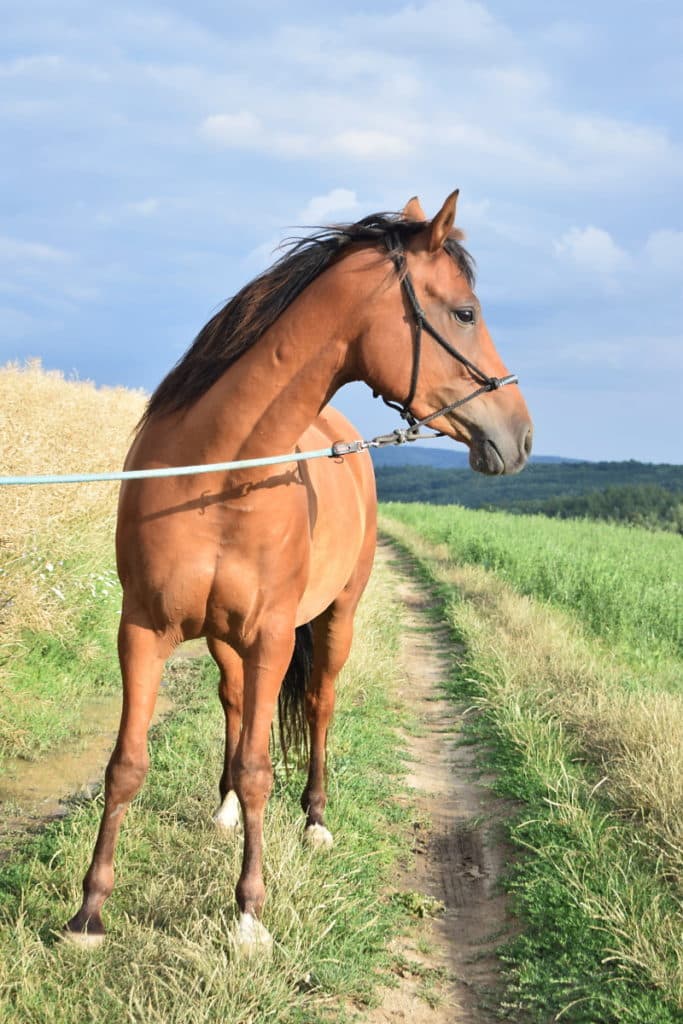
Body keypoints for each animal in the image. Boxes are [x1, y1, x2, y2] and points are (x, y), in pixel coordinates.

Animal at [63, 190, 532, 950]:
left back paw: (313, 818)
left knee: (319, 704)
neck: (219, 472)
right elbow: (127, 765)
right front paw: (89, 912)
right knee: (233, 703)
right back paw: (224, 810)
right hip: (228, 642)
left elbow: (261, 768)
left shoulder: (273, 637)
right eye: (465, 312)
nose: (519, 435)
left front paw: (249, 913)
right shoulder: (142, 632)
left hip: (334, 619)